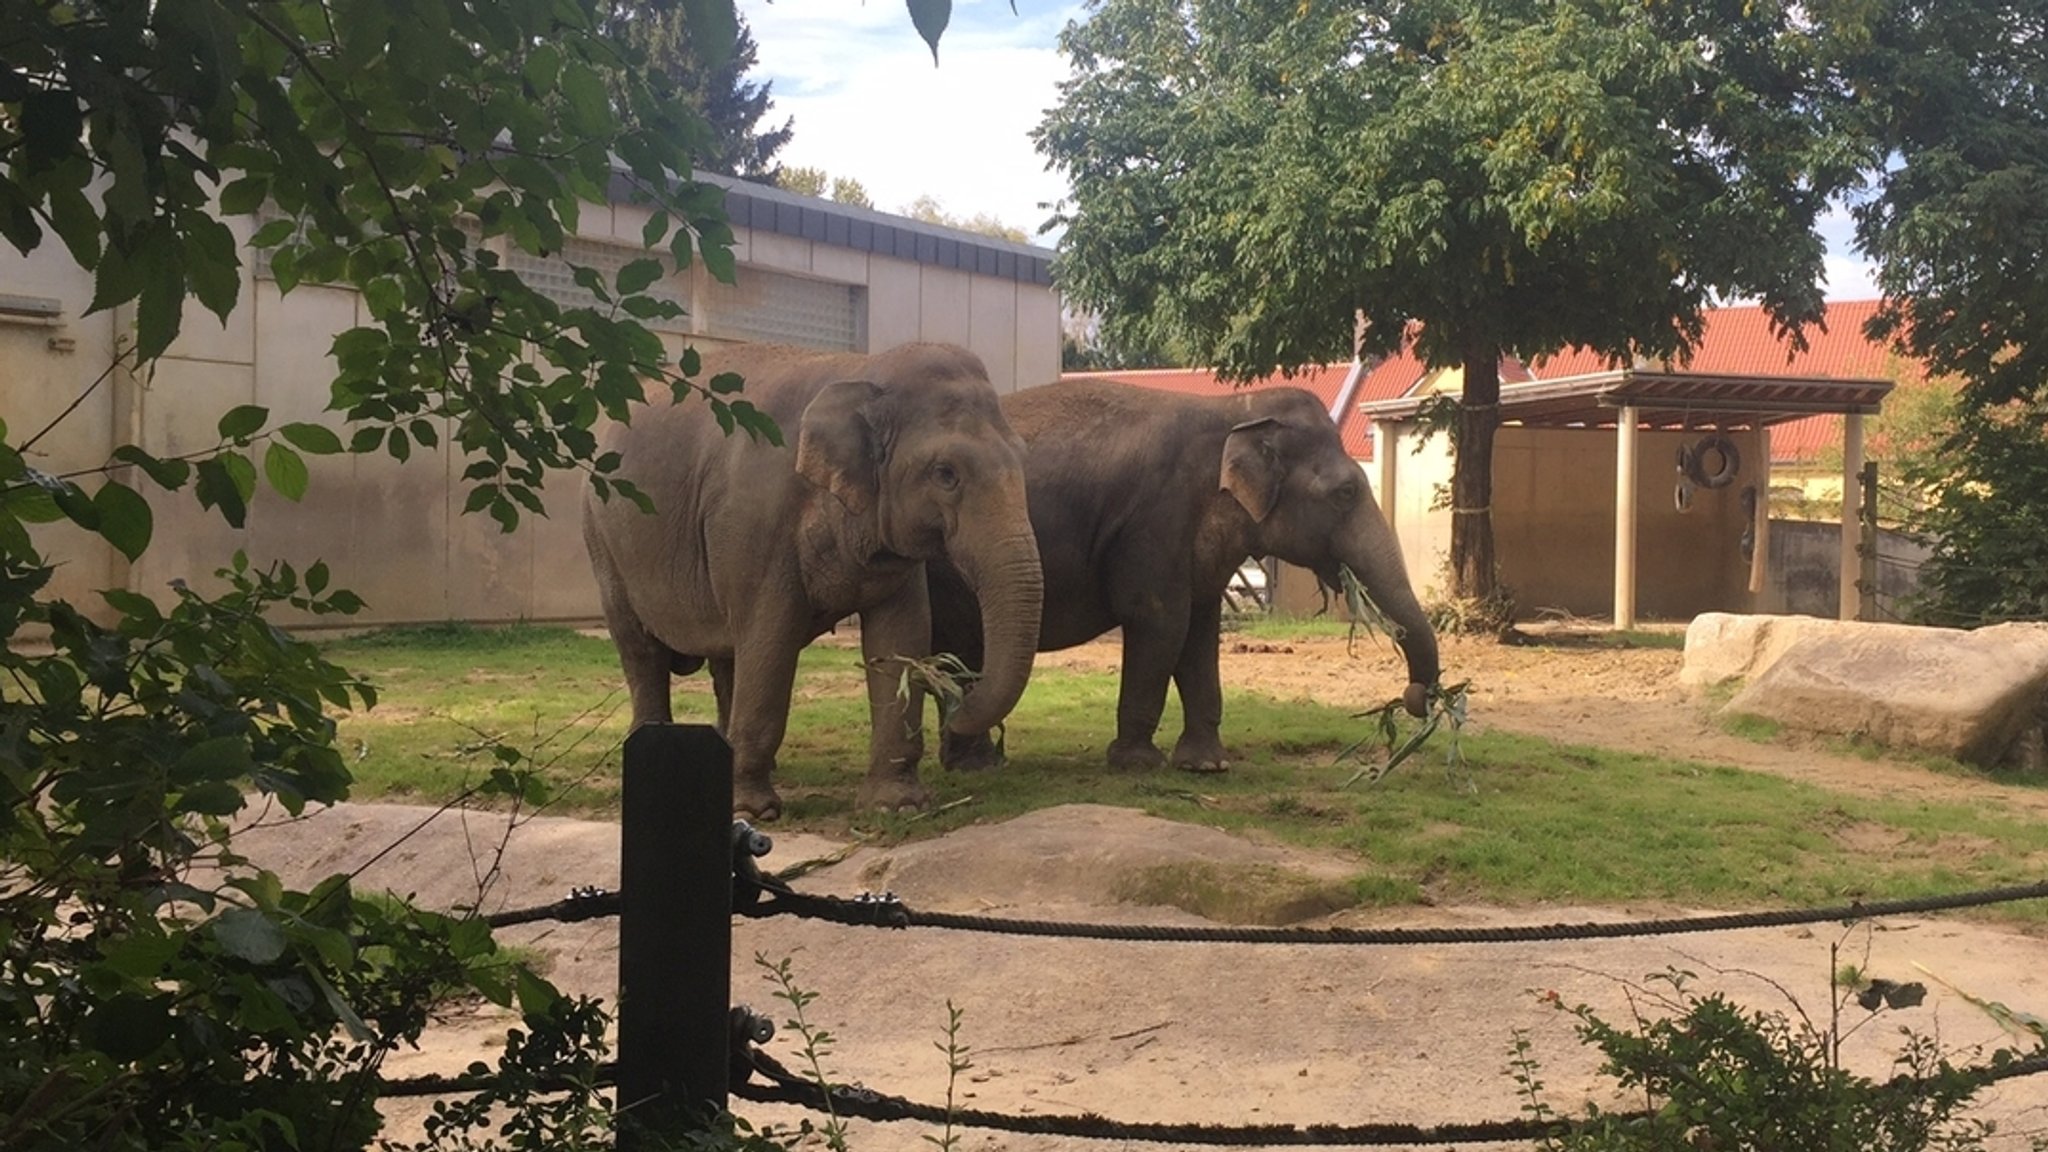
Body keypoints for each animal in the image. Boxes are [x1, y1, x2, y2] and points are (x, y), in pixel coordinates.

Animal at [585, 340, 1048, 815]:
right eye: (945, 474)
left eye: (1021, 459)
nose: (957, 686)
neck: (863, 372)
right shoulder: (755, 521)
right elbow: (769, 637)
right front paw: (753, 811)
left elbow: (901, 634)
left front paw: (897, 806)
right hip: (603, 538)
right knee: (643, 651)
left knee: (727, 655)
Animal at [929, 379, 1441, 770]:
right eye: (1346, 493)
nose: (1414, 696)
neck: (1238, 408)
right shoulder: (1156, 518)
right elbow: (1162, 622)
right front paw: (1138, 763)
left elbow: (1200, 633)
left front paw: (1206, 765)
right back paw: (976, 764)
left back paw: (971, 762)